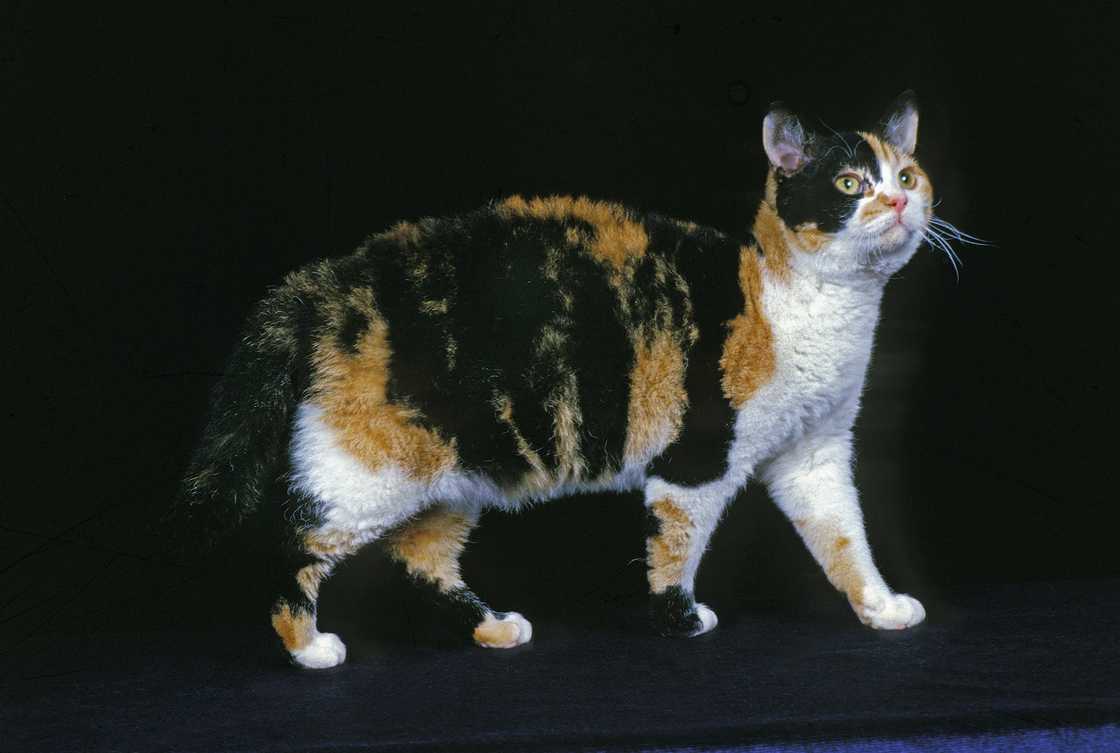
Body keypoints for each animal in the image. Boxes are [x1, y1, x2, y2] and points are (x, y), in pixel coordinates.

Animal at [176, 89, 963, 672]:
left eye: (907, 175)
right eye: (849, 184)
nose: (898, 203)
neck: (802, 301)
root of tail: (322, 284)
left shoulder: (814, 455)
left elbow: (845, 539)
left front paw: (881, 606)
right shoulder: (697, 462)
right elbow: (675, 547)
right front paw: (681, 620)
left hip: (459, 475)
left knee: (419, 558)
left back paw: (494, 628)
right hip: (370, 473)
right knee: (292, 540)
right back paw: (308, 647)